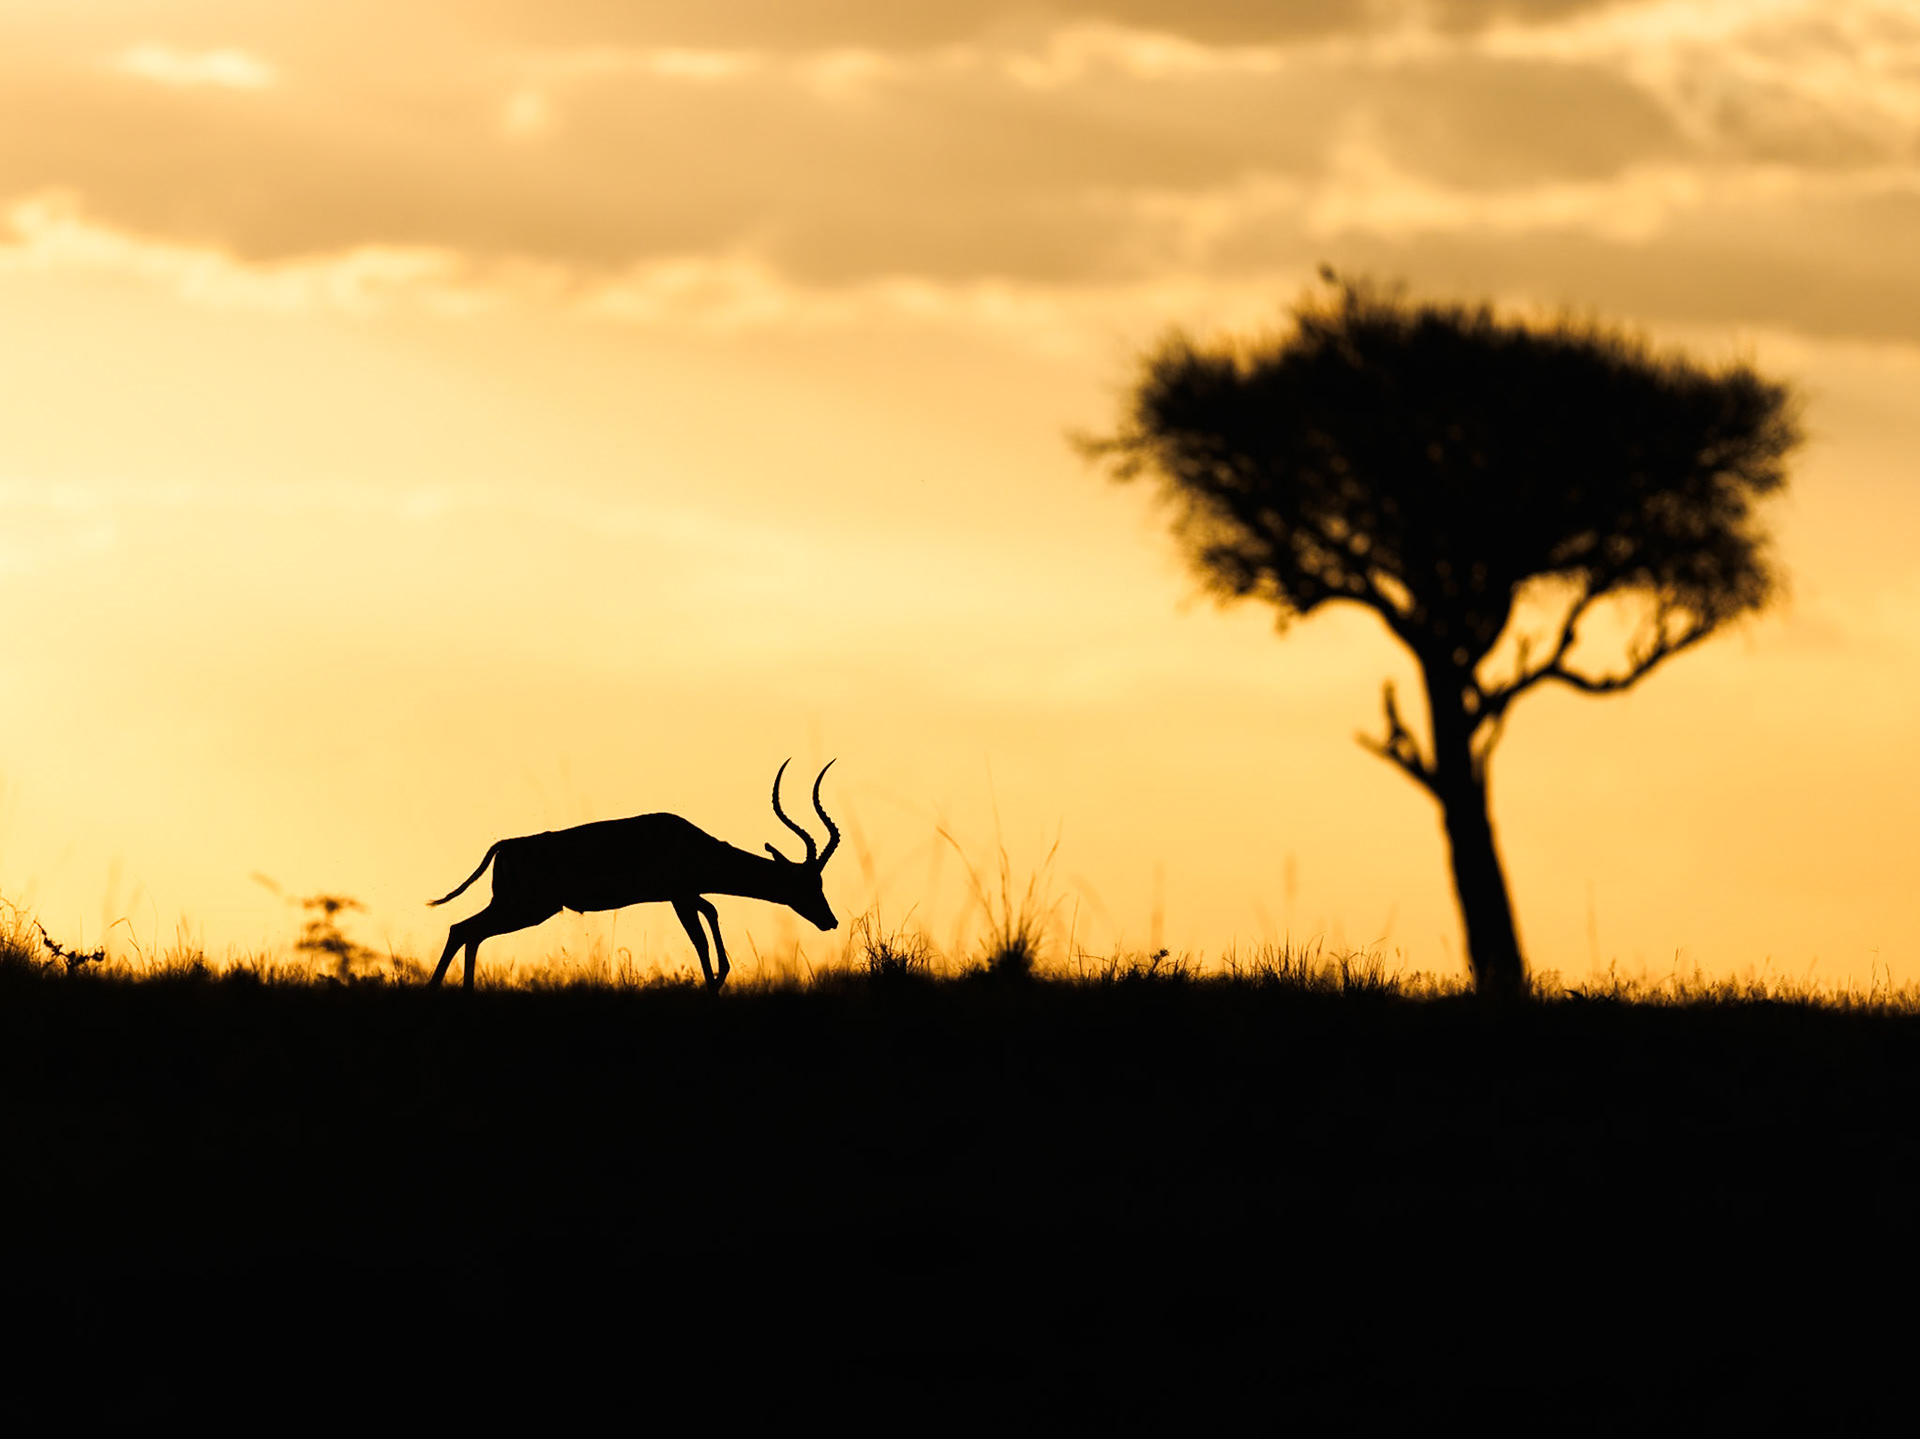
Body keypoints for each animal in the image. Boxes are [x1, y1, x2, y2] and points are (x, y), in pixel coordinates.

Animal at [425, 760, 841, 990]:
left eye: (821, 883)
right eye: (807, 884)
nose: (831, 921)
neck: (692, 843)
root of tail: (506, 846)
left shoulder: (685, 894)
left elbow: (711, 914)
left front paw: (721, 976)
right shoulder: (679, 896)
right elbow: (700, 939)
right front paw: (712, 985)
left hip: (516, 905)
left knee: (464, 930)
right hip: (530, 908)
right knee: (467, 930)